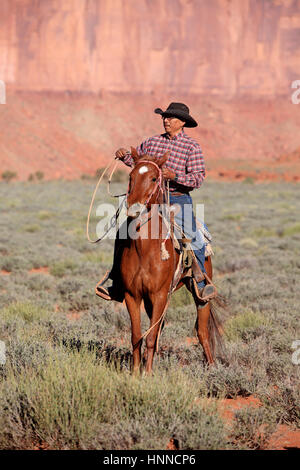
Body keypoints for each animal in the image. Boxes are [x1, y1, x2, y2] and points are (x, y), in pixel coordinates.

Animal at [120, 149, 223, 372]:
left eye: (153, 178)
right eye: (130, 176)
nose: (134, 209)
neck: (144, 250)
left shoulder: (159, 294)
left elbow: (150, 337)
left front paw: (148, 374)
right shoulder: (133, 295)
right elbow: (137, 336)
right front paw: (135, 373)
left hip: (199, 293)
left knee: (202, 330)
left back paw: (211, 366)